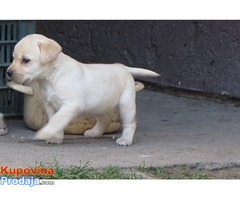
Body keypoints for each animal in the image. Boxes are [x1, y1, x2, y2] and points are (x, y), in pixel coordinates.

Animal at [6, 33, 159, 146]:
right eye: (13, 58)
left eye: (25, 60)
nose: (8, 72)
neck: (53, 76)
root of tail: (122, 66)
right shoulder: (49, 105)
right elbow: (55, 120)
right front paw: (55, 137)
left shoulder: (70, 105)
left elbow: (57, 120)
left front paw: (44, 133)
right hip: (98, 105)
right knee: (106, 119)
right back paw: (95, 132)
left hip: (126, 104)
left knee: (130, 123)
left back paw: (125, 139)